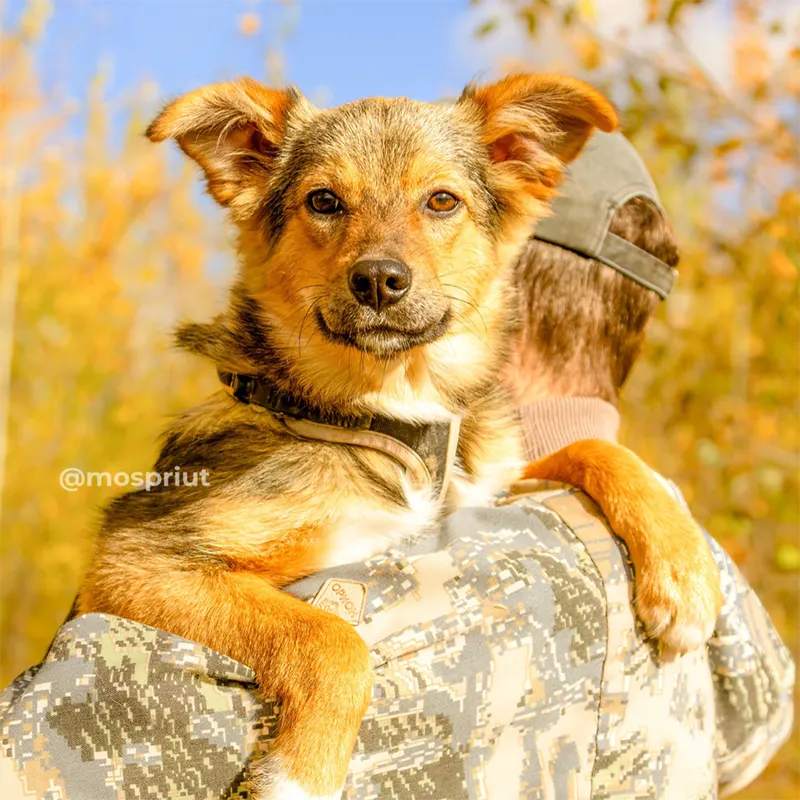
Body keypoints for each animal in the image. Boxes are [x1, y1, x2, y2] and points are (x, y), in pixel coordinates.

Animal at [75, 75, 720, 800]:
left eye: (441, 200)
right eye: (323, 201)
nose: (380, 280)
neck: (395, 419)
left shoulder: (481, 487)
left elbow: (594, 447)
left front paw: (686, 573)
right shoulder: (140, 557)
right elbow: (330, 635)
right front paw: (300, 777)